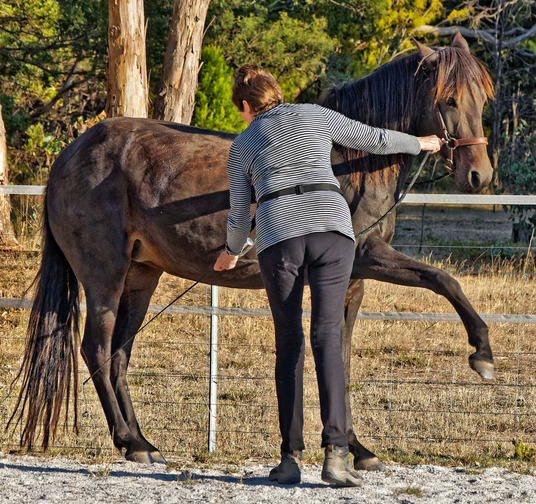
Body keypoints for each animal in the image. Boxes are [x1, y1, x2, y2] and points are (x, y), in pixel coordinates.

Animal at [9, 34, 494, 468]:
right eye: (449, 100)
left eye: (482, 100)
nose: (479, 175)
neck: (348, 163)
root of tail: (69, 155)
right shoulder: (364, 258)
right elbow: (443, 279)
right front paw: (482, 355)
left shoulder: (354, 282)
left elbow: (342, 359)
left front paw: (357, 449)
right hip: (105, 275)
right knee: (96, 348)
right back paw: (131, 442)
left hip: (140, 276)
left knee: (118, 356)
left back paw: (141, 443)